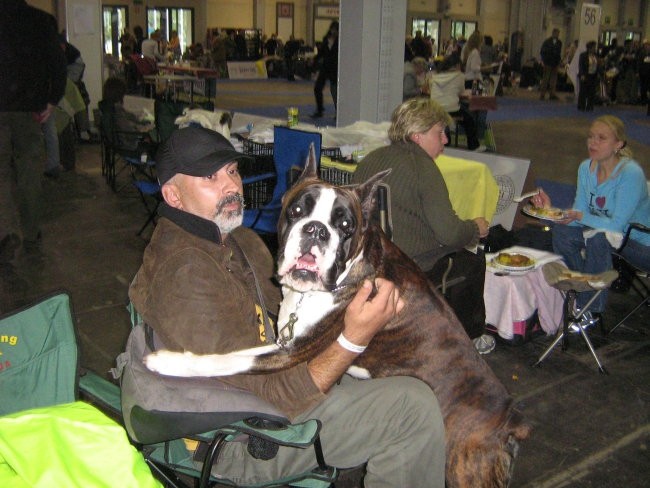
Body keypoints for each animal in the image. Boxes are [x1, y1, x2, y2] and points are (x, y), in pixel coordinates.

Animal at [148, 147, 532, 486]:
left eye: (346, 224)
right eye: (296, 210)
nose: (316, 230)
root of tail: (510, 418)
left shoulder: (290, 353)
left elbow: (229, 359)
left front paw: (168, 362)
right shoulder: (285, 339)